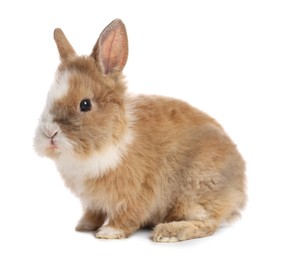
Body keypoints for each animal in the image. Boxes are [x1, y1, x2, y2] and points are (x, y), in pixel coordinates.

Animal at [33, 18, 247, 244]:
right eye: (48, 98)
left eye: (85, 104)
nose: (49, 133)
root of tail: (239, 190)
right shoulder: (92, 201)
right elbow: (94, 212)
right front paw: (84, 226)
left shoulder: (137, 191)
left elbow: (128, 215)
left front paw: (109, 232)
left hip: (194, 193)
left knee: (207, 224)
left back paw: (167, 232)